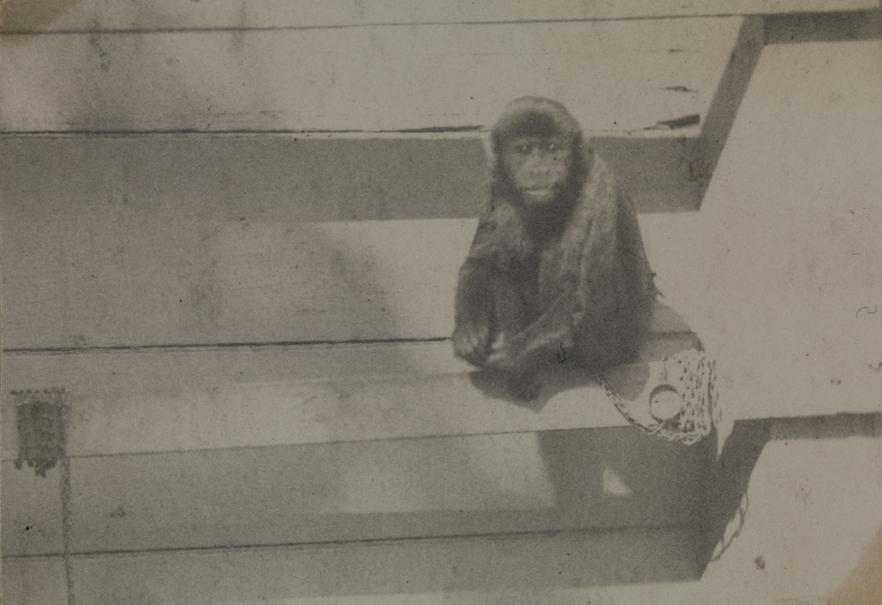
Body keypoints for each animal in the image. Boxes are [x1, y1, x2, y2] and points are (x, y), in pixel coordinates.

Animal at [452, 97, 657, 398]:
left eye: (552, 148)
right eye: (525, 150)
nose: (540, 169)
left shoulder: (598, 180)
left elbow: (587, 294)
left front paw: (513, 354)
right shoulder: (498, 189)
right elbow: (481, 262)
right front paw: (468, 329)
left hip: (616, 344)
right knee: (504, 266)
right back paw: (522, 377)